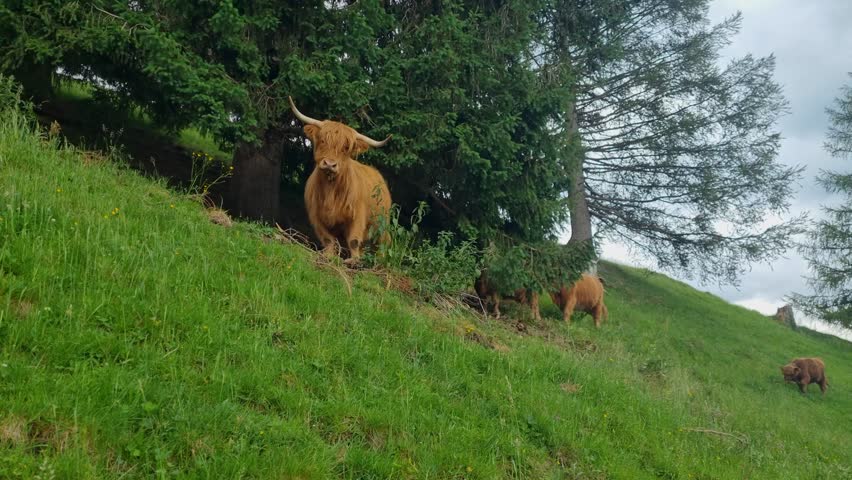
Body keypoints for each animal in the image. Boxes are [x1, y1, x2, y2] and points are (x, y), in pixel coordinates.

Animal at [289, 97, 392, 264]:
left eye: (346, 148)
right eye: (322, 140)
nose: (330, 164)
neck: (331, 190)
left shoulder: (357, 215)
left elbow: (354, 240)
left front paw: (353, 261)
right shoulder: (316, 216)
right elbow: (328, 239)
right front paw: (328, 256)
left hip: (382, 221)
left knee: (382, 241)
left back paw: (379, 261)